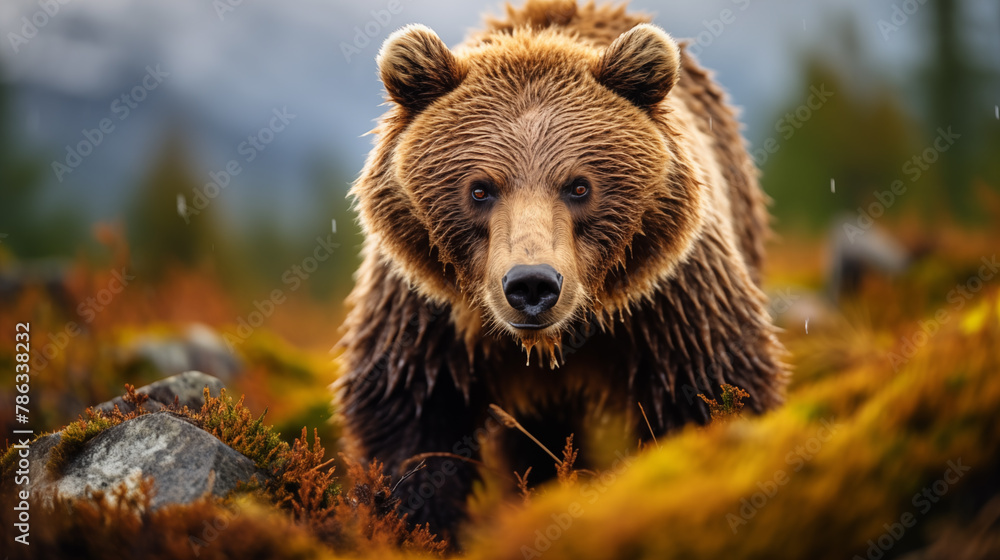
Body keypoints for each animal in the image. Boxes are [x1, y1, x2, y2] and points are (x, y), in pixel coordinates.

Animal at [336, 0, 787, 542]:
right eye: (480, 189)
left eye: (579, 186)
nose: (532, 283)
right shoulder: (426, 312)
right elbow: (411, 419)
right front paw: (415, 523)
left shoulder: (672, 299)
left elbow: (713, 388)